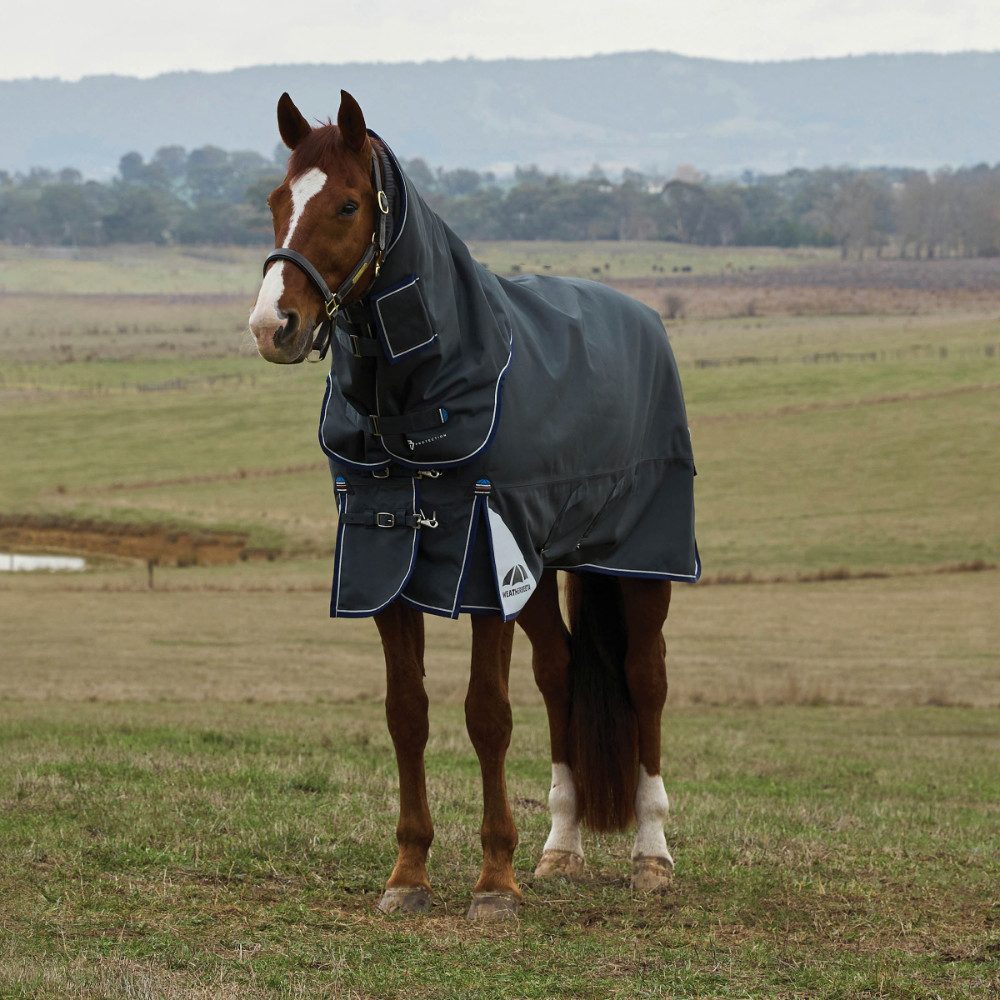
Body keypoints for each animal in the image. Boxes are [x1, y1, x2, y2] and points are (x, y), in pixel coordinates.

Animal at [248, 90, 700, 920]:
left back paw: (651, 854)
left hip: (640, 559)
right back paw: (562, 847)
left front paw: (494, 882)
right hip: (544, 566)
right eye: (276, 201)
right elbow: (407, 714)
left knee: (646, 677)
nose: (273, 326)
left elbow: (487, 715)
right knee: (560, 672)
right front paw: (408, 874)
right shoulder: (387, 562)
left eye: (347, 203)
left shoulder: (484, 566)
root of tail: (642, 318)